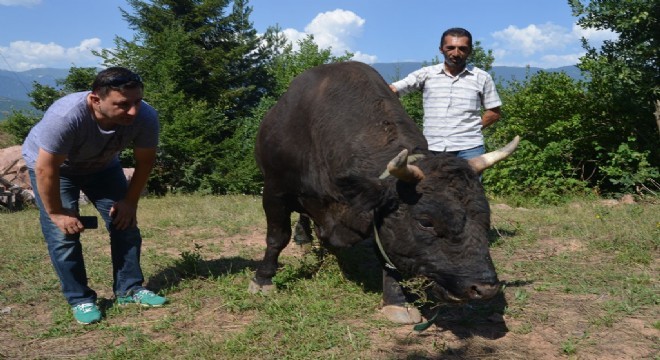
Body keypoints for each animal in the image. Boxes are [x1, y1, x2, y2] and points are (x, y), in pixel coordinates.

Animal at [250, 61, 520, 324]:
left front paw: (396, 301)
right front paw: (263, 279)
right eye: (425, 222)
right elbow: (277, 237)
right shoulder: (274, 191)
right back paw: (304, 240)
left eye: (485, 217)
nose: (484, 288)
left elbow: (387, 255)